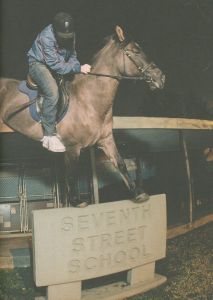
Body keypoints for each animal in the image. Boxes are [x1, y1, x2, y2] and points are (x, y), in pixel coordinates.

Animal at [0, 25, 165, 206]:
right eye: (135, 51)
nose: (160, 78)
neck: (89, 100)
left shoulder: (106, 140)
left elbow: (120, 164)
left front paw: (138, 193)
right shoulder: (72, 147)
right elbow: (72, 174)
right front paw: (76, 201)